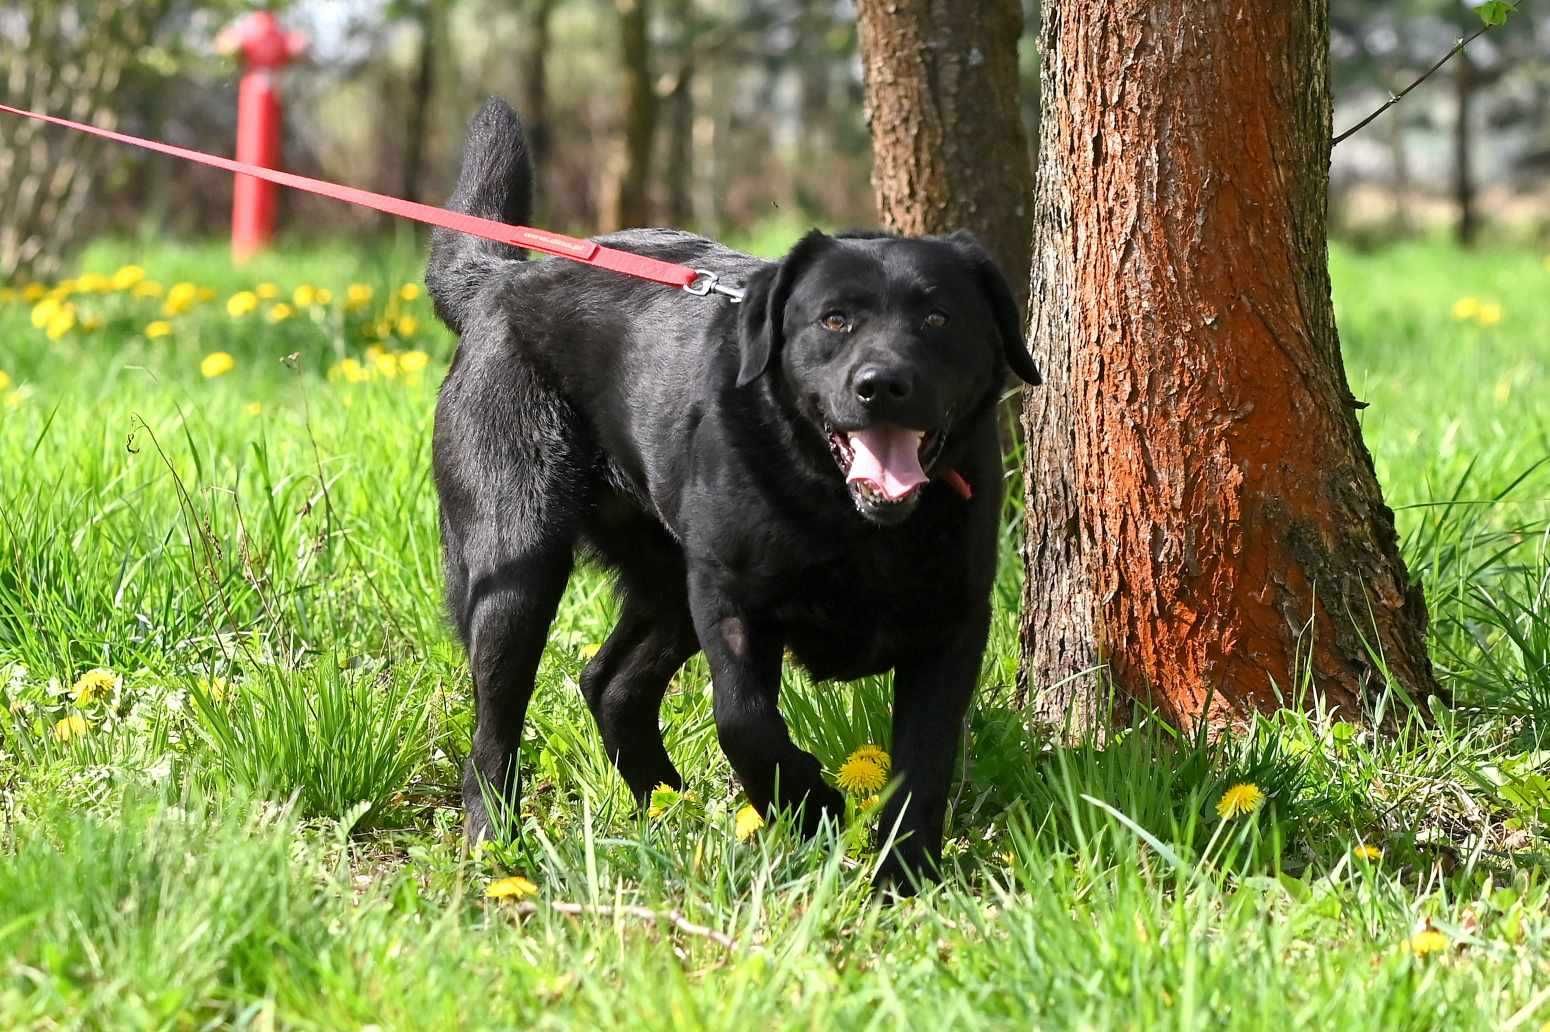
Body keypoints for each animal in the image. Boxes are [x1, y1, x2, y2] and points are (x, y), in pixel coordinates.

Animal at [430, 98, 1041, 886]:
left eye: (938, 318)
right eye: (835, 318)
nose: (882, 385)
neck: (847, 521)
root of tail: (502, 283)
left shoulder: (954, 621)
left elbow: (924, 759)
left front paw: (902, 877)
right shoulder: (730, 599)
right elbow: (744, 721)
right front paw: (812, 806)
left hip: (666, 576)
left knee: (611, 683)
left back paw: (670, 810)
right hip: (517, 561)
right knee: (495, 723)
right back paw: (494, 842)